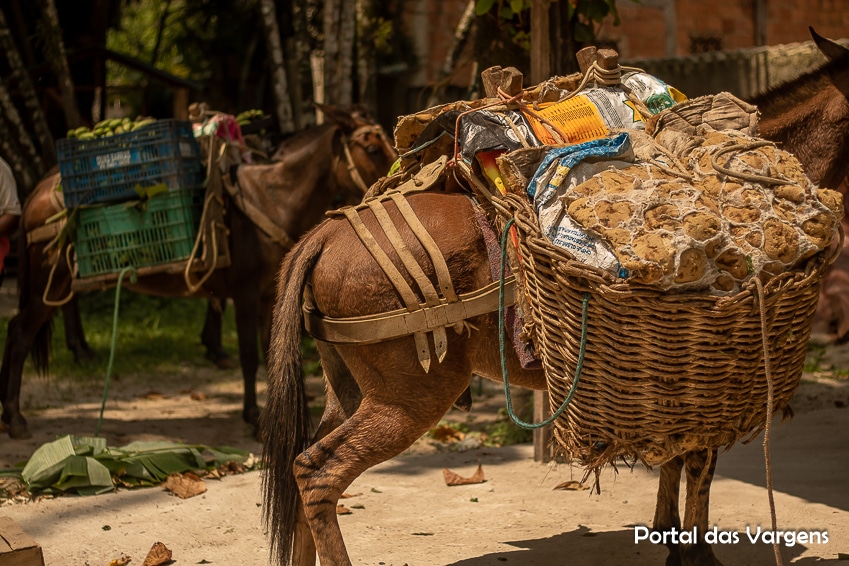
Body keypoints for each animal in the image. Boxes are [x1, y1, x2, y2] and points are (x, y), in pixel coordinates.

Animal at [0, 107, 398, 444]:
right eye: (370, 146)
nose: (394, 179)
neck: (271, 198)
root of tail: (36, 193)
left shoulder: (268, 295)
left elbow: (270, 351)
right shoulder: (244, 294)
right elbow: (249, 355)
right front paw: (253, 418)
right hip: (49, 285)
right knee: (19, 333)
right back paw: (15, 418)